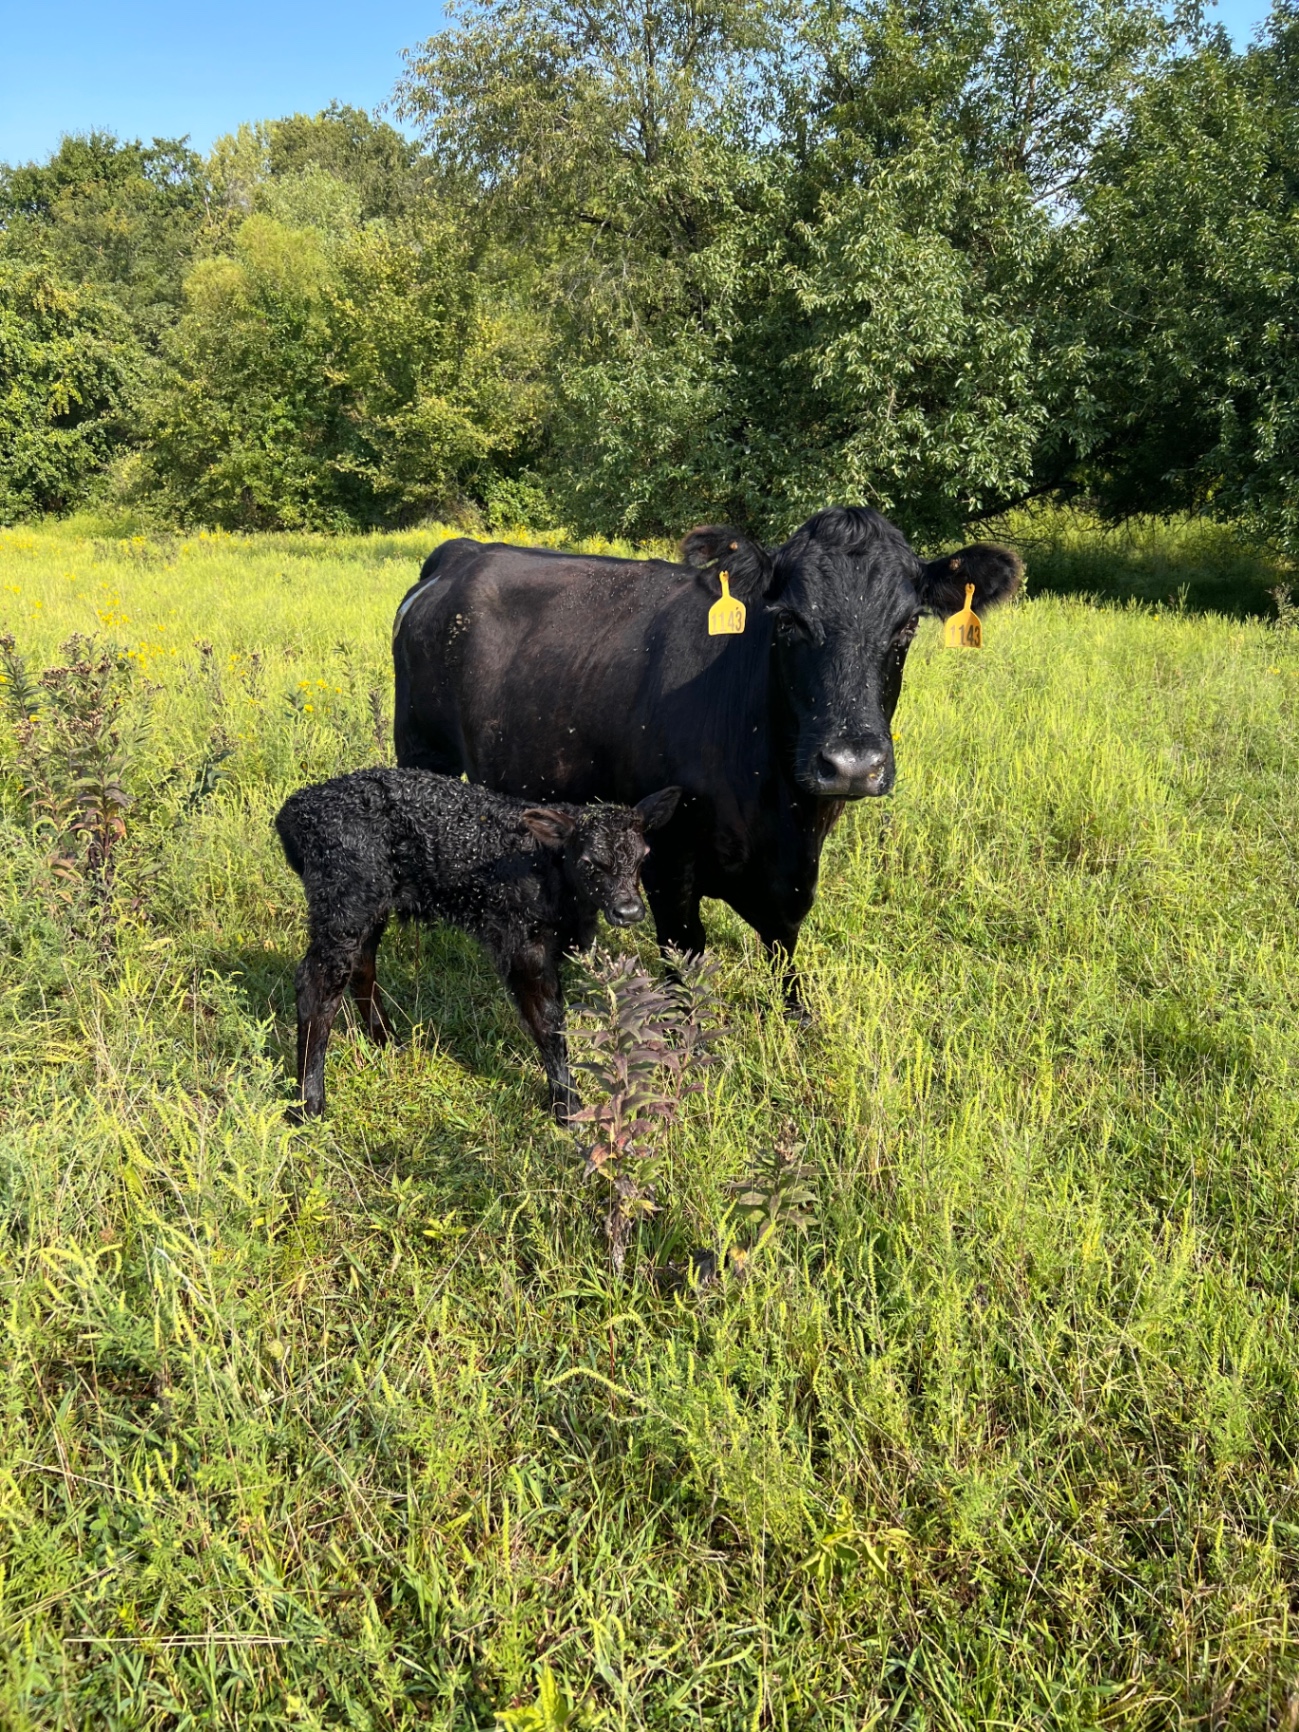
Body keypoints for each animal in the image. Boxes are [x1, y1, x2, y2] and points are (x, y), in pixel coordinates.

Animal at [392, 506, 1021, 1010]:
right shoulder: (666, 861)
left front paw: (796, 1022)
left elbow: (784, 947)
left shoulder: (790, 877)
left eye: (908, 625)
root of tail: (464, 551)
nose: (851, 764)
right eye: (789, 620)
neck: (782, 813)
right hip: (420, 747)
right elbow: (684, 959)